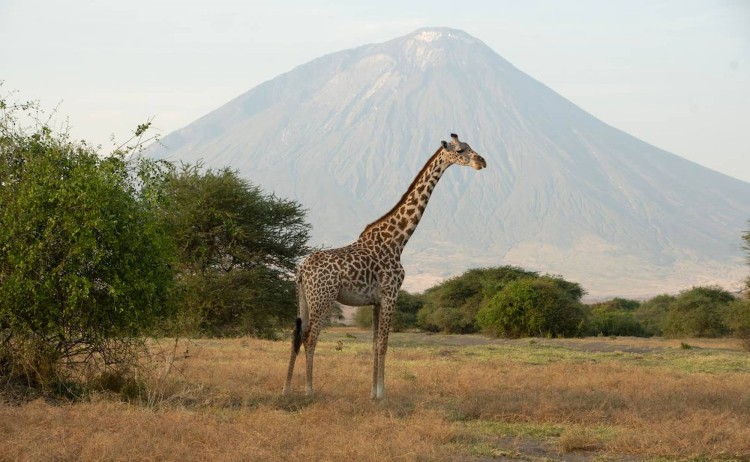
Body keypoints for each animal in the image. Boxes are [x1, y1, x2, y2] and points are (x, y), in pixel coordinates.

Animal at [283, 133, 486, 400]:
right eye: (461, 150)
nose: (481, 161)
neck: (398, 240)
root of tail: (301, 270)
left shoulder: (376, 301)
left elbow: (373, 344)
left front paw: (372, 393)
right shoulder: (391, 294)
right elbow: (384, 344)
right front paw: (382, 394)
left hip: (304, 300)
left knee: (295, 335)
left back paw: (286, 388)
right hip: (322, 298)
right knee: (310, 338)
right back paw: (309, 390)